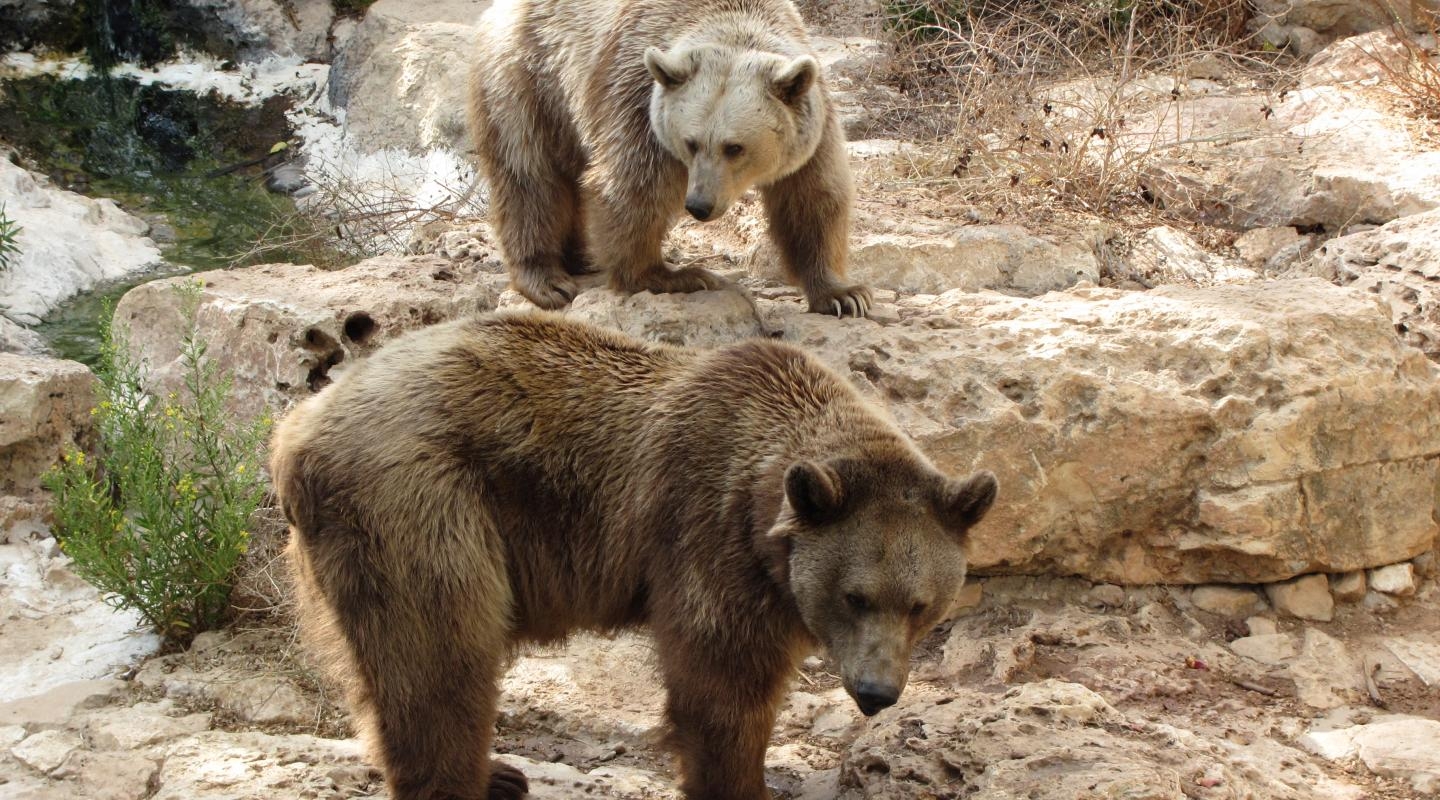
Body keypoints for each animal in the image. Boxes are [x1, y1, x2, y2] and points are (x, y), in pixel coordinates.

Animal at [267, 313, 990, 800]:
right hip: (420, 500)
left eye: (921, 605)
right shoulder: (707, 533)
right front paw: (740, 780)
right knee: (440, 656)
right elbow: (721, 687)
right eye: (855, 595)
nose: (876, 693)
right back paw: (475, 777)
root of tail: (295, 431)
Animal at [466, 0, 869, 319]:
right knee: (529, 173)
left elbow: (813, 197)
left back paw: (581, 257)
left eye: (734, 147)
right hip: (529, 74)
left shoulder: (812, 125)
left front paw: (843, 295)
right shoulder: (637, 97)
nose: (699, 205)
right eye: (691, 143)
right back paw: (547, 278)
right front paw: (671, 275)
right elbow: (633, 186)